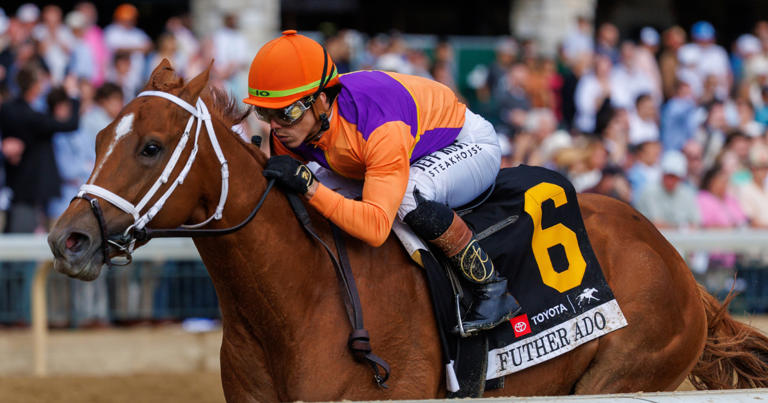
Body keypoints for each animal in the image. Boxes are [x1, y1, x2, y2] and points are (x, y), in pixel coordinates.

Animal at [48, 60, 768, 401]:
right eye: (98, 137)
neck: (295, 303)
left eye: (149, 146)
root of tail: (674, 258)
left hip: (623, 373)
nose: (67, 239)